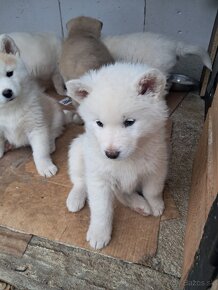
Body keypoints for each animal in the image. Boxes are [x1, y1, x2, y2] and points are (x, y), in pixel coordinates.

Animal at [0, 35, 72, 178]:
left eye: (9, 73)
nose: (7, 92)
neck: (10, 109)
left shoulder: (37, 127)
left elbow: (40, 152)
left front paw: (45, 167)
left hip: (55, 115)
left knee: (54, 133)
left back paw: (50, 144)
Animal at [65, 61, 168, 249]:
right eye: (99, 123)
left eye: (129, 122)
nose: (111, 154)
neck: (129, 158)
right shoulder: (99, 178)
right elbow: (101, 210)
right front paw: (99, 234)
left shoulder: (157, 166)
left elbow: (153, 190)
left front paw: (156, 205)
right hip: (77, 151)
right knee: (80, 181)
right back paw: (75, 198)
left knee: (122, 194)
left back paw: (140, 205)